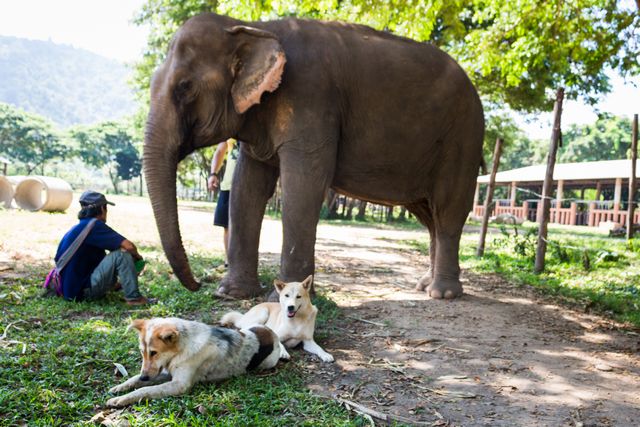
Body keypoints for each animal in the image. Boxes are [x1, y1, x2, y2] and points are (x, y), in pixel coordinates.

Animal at [106, 318, 286, 408]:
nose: (145, 377)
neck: (182, 348)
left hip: (269, 362)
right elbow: (135, 379)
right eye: (142, 352)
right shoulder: (163, 372)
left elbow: (146, 390)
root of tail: (272, 334)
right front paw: (120, 387)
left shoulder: (179, 384)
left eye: (154, 353)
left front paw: (122, 399)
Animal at [144, 13, 484, 300]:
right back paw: (425, 285)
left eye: (185, 87)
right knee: (429, 216)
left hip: (463, 137)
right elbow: (247, 186)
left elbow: (303, 185)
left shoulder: (309, 96)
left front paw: (285, 297)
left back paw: (443, 294)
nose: (200, 284)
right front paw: (232, 294)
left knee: (448, 210)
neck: (254, 26)